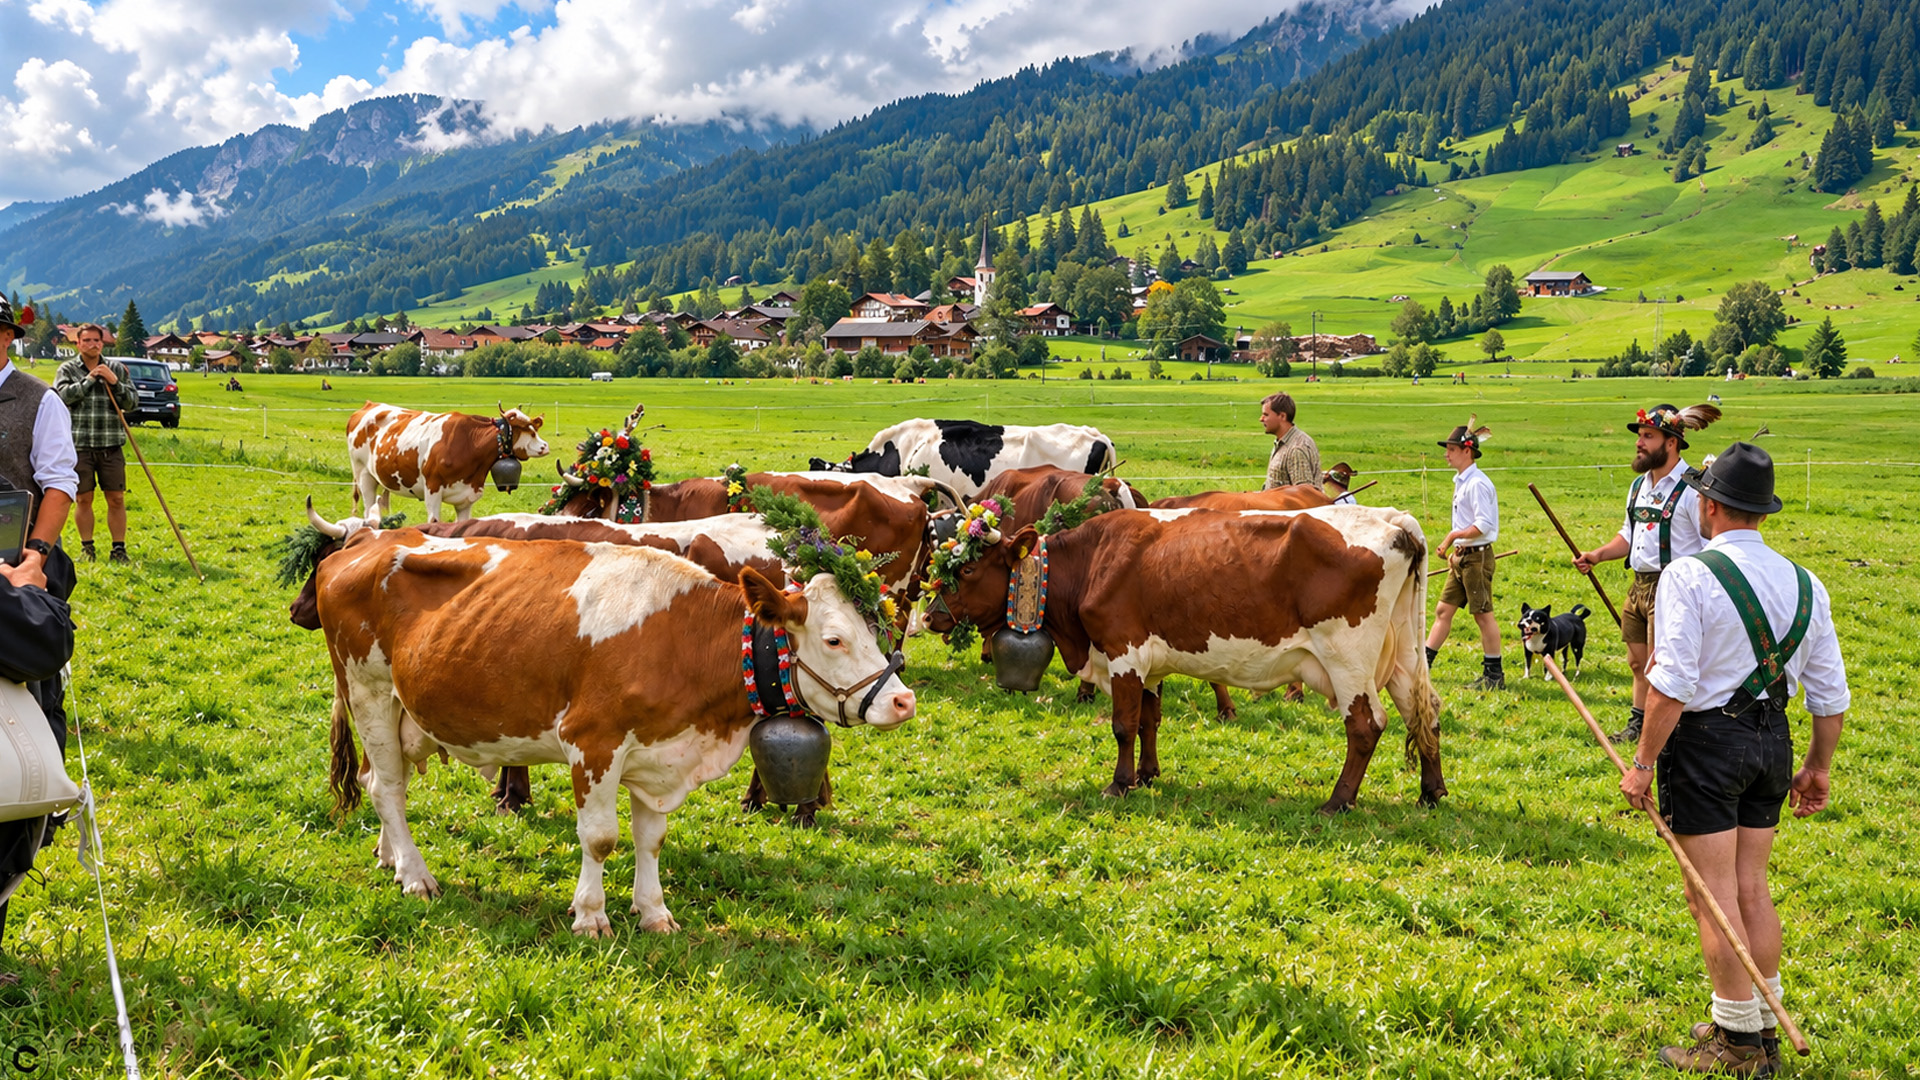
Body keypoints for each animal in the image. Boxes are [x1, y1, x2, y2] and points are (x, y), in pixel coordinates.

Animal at [316, 527, 916, 936]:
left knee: (377, 782)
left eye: (873, 629)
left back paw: (390, 857)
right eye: (835, 639)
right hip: (367, 690)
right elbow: (600, 838)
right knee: (388, 788)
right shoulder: (592, 741)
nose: (903, 700)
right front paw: (591, 915)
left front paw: (653, 912)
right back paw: (416, 875)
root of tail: (369, 538)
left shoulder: (658, 753)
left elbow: (651, 839)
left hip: (399, 710)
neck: (682, 637)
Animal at [348, 402, 549, 523]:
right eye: (526, 430)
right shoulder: (432, 489)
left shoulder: (466, 498)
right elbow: (434, 523)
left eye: (534, 428)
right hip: (363, 474)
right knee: (368, 509)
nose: (545, 446)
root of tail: (369, 404)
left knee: (381, 505)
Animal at [922, 505, 1444, 814]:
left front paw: (1119, 784)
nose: (929, 616)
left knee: (1366, 726)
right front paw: (1148, 775)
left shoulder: (1123, 651)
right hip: (1402, 655)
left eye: (968, 568)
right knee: (1425, 712)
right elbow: (1149, 719)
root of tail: (1392, 518)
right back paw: (1431, 791)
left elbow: (1123, 724)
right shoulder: (1150, 662)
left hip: (1347, 659)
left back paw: (1337, 801)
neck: (1092, 562)